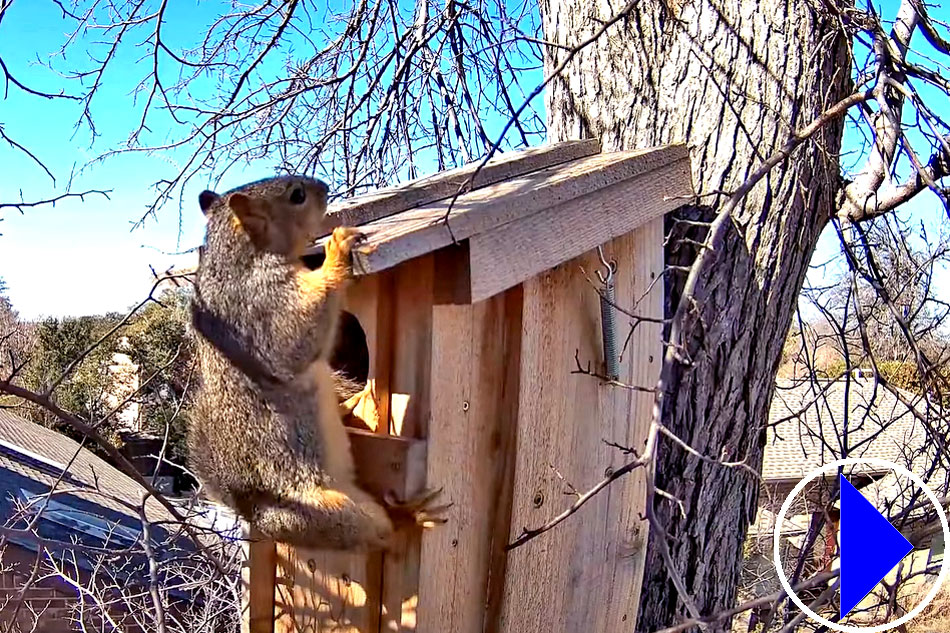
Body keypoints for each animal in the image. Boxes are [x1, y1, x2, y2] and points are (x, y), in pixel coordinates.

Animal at [188, 174, 444, 548]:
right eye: (297, 196)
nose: (324, 188)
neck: (240, 255)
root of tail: (255, 514)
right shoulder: (264, 303)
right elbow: (297, 336)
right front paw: (337, 250)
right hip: (328, 514)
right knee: (379, 530)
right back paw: (408, 515)